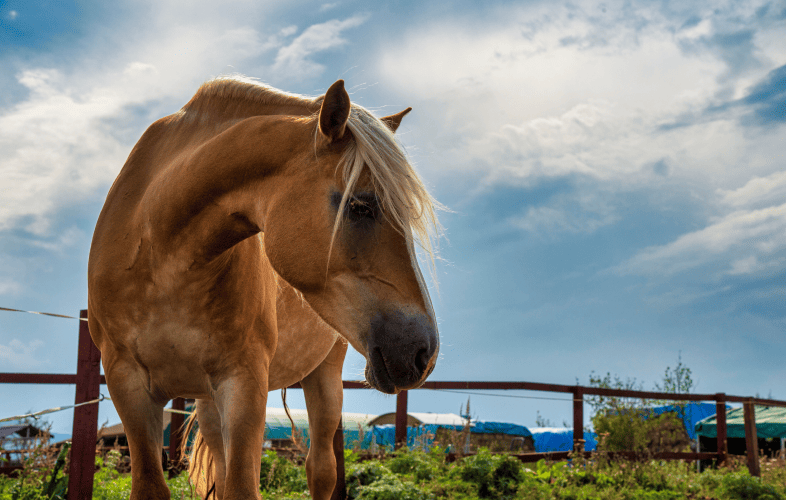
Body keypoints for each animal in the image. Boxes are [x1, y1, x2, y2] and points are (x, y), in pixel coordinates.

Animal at [87, 76, 440, 500]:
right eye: (360, 206)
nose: (423, 353)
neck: (161, 254)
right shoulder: (127, 383)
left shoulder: (244, 381)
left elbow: (244, 486)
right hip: (207, 403)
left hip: (324, 379)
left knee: (321, 470)